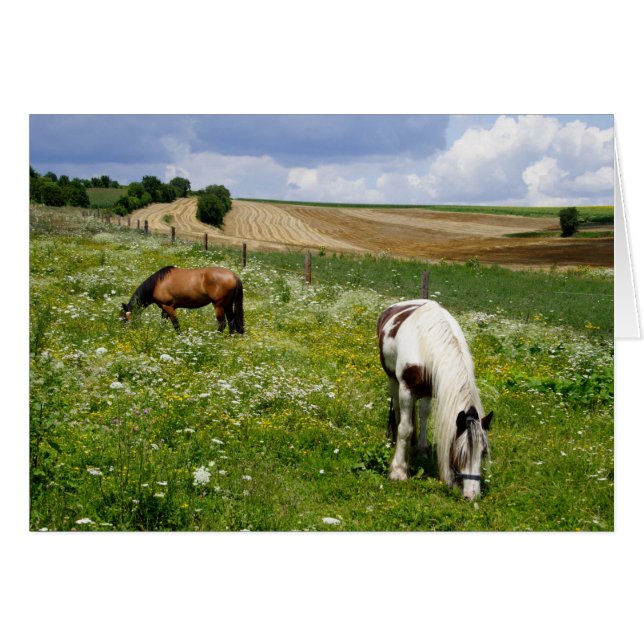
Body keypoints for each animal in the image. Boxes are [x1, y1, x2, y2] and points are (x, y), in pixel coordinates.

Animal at [377, 299, 492, 499]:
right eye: (461, 453)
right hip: (393, 381)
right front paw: (398, 471)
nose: (472, 495)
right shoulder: (406, 389)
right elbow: (405, 429)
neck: (428, 342)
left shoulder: (433, 388)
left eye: (483, 452)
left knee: (422, 415)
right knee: (398, 409)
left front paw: (421, 453)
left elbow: (423, 418)